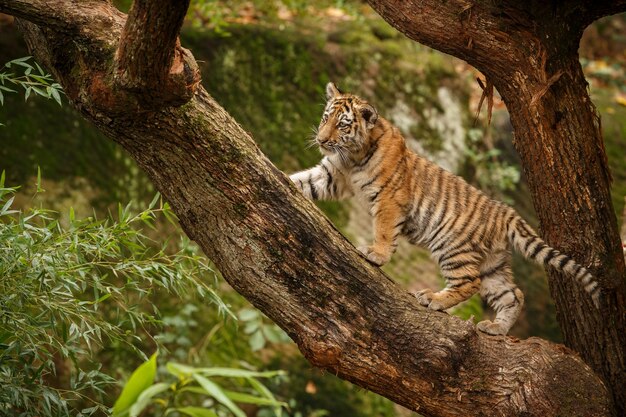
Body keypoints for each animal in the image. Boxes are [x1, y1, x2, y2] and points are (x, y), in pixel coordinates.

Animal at [290, 81, 596, 334]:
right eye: (325, 118)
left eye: (342, 125)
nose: (321, 140)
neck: (351, 157)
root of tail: (505, 212)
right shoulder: (331, 176)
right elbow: (303, 181)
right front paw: (283, 178)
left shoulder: (389, 197)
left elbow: (384, 230)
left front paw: (376, 254)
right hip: (492, 264)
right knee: (513, 294)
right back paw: (495, 328)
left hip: (452, 247)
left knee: (469, 282)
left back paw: (433, 299)